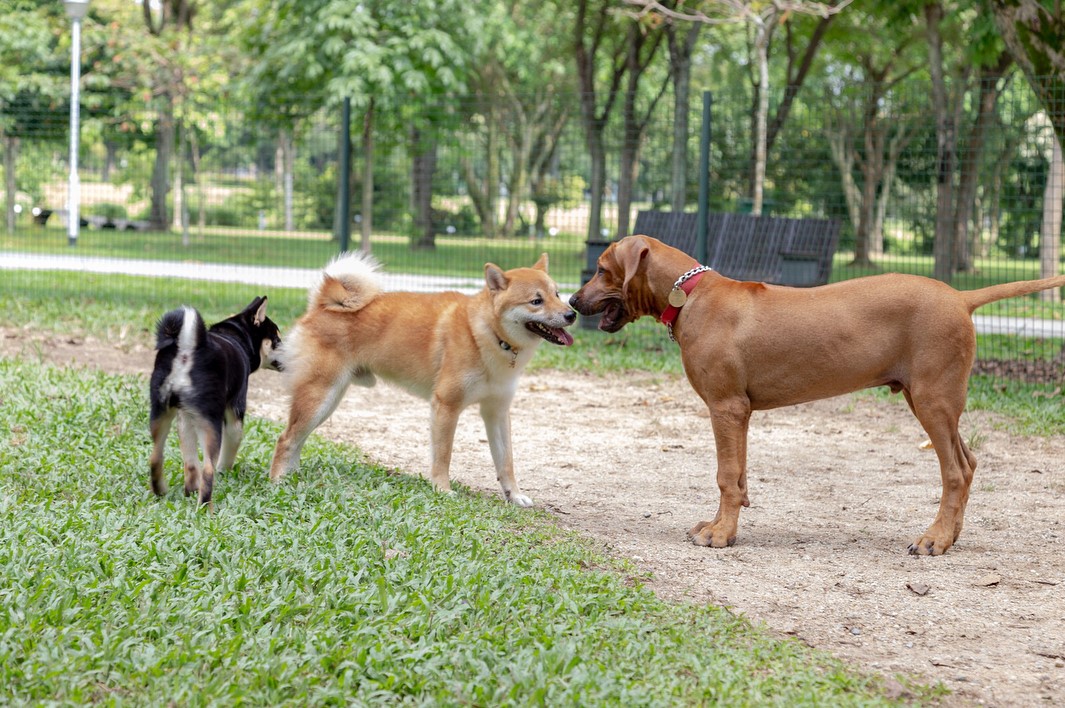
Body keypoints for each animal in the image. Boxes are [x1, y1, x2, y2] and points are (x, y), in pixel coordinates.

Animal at [150, 295, 285, 504]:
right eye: (277, 340)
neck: (236, 337)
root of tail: (187, 350)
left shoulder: (185, 416)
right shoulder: (235, 414)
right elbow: (229, 450)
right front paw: (224, 472)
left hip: (161, 414)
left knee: (161, 459)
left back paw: (166, 492)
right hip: (211, 423)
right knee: (207, 470)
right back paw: (204, 504)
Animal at [270, 251, 579, 504]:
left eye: (558, 293)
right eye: (536, 301)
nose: (572, 313)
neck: (487, 334)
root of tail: (322, 305)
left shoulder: (497, 412)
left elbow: (506, 461)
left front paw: (514, 495)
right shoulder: (446, 406)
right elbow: (443, 455)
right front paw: (442, 489)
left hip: (328, 400)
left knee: (296, 439)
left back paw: (292, 476)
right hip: (320, 396)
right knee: (285, 439)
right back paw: (278, 481)